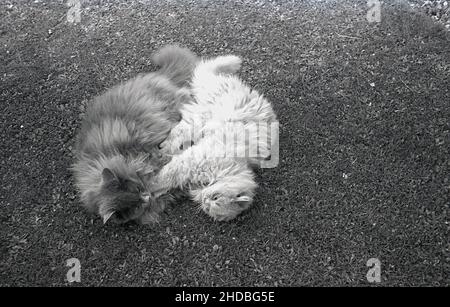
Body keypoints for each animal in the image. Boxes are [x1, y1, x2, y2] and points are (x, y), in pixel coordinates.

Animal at [72, 45, 199, 224]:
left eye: (137, 188)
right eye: (137, 205)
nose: (146, 196)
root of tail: (157, 75)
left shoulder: (149, 152)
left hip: (168, 105)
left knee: (185, 94)